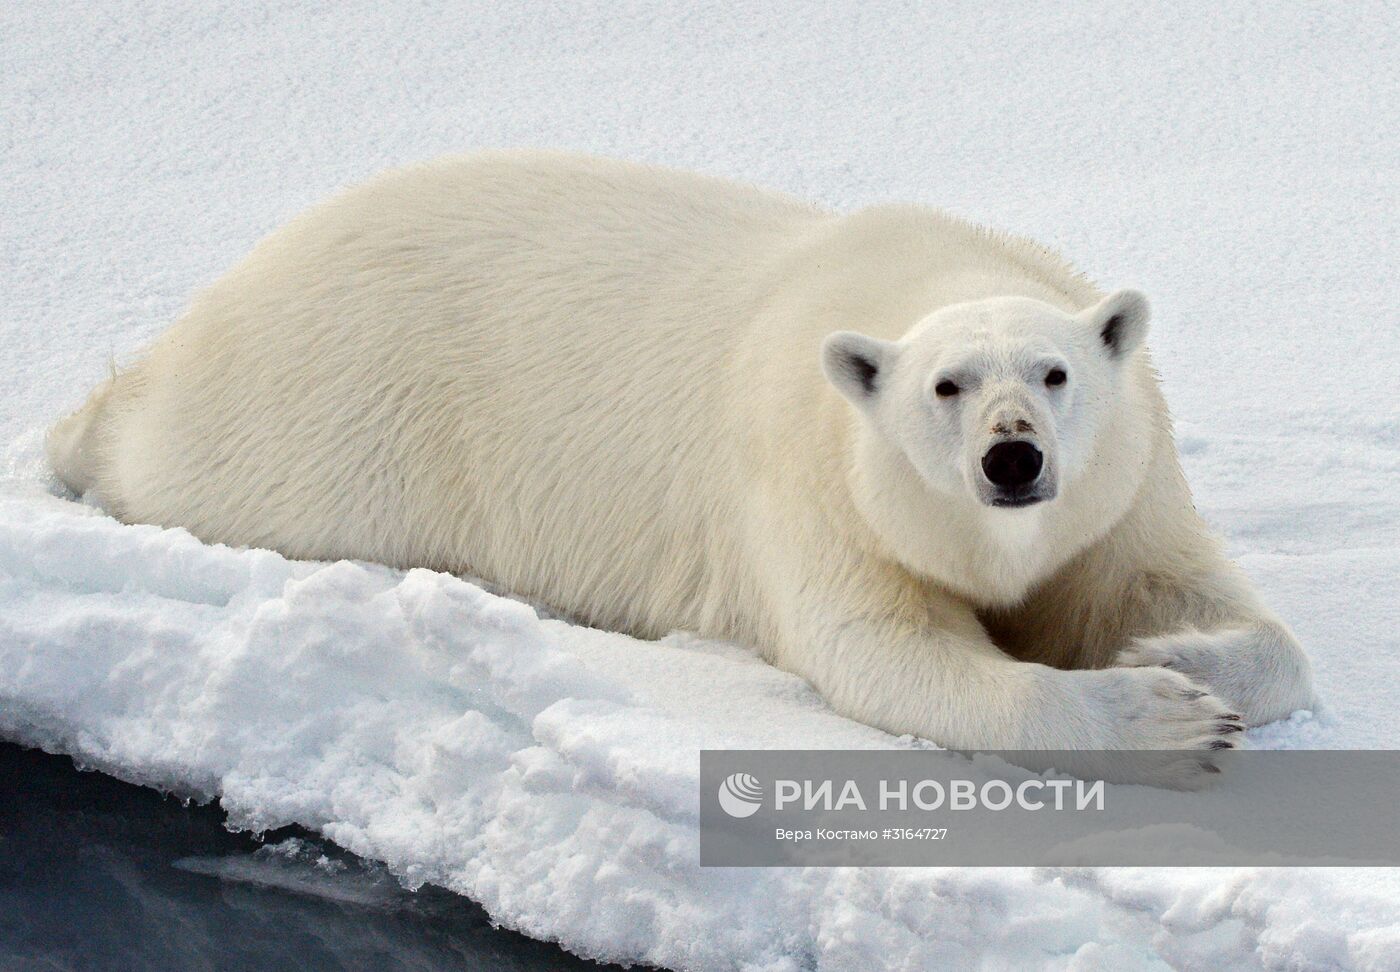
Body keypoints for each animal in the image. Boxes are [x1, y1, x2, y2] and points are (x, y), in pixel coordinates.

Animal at [46, 154, 1310, 778]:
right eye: (944, 388)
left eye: (1053, 374)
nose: (1010, 460)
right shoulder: (809, 487)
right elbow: (885, 654)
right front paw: (1162, 715)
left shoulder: (1122, 491)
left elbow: (1200, 602)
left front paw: (1170, 651)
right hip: (332, 420)